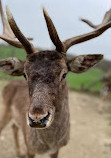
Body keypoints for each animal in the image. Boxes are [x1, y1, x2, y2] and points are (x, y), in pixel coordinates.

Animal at [0, 0, 111, 157]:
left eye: (64, 74)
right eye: (25, 74)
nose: (37, 118)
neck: (48, 144)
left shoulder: (57, 149)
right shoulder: (30, 146)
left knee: (14, 127)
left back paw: (19, 151)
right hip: (4, 108)